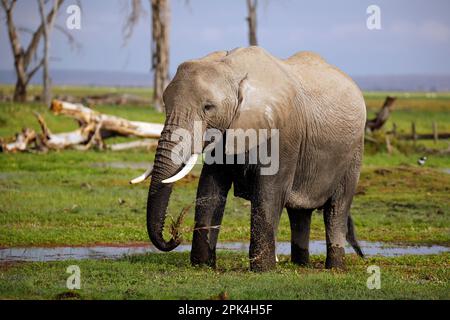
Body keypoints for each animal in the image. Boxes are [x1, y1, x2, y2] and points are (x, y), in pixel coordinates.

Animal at [132, 46, 368, 272]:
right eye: (165, 103)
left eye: (208, 107)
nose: (175, 236)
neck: (233, 68)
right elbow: (210, 187)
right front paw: (202, 265)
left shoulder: (283, 133)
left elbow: (269, 193)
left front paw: (263, 270)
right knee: (299, 212)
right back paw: (301, 264)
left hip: (354, 151)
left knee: (337, 209)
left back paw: (334, 267)